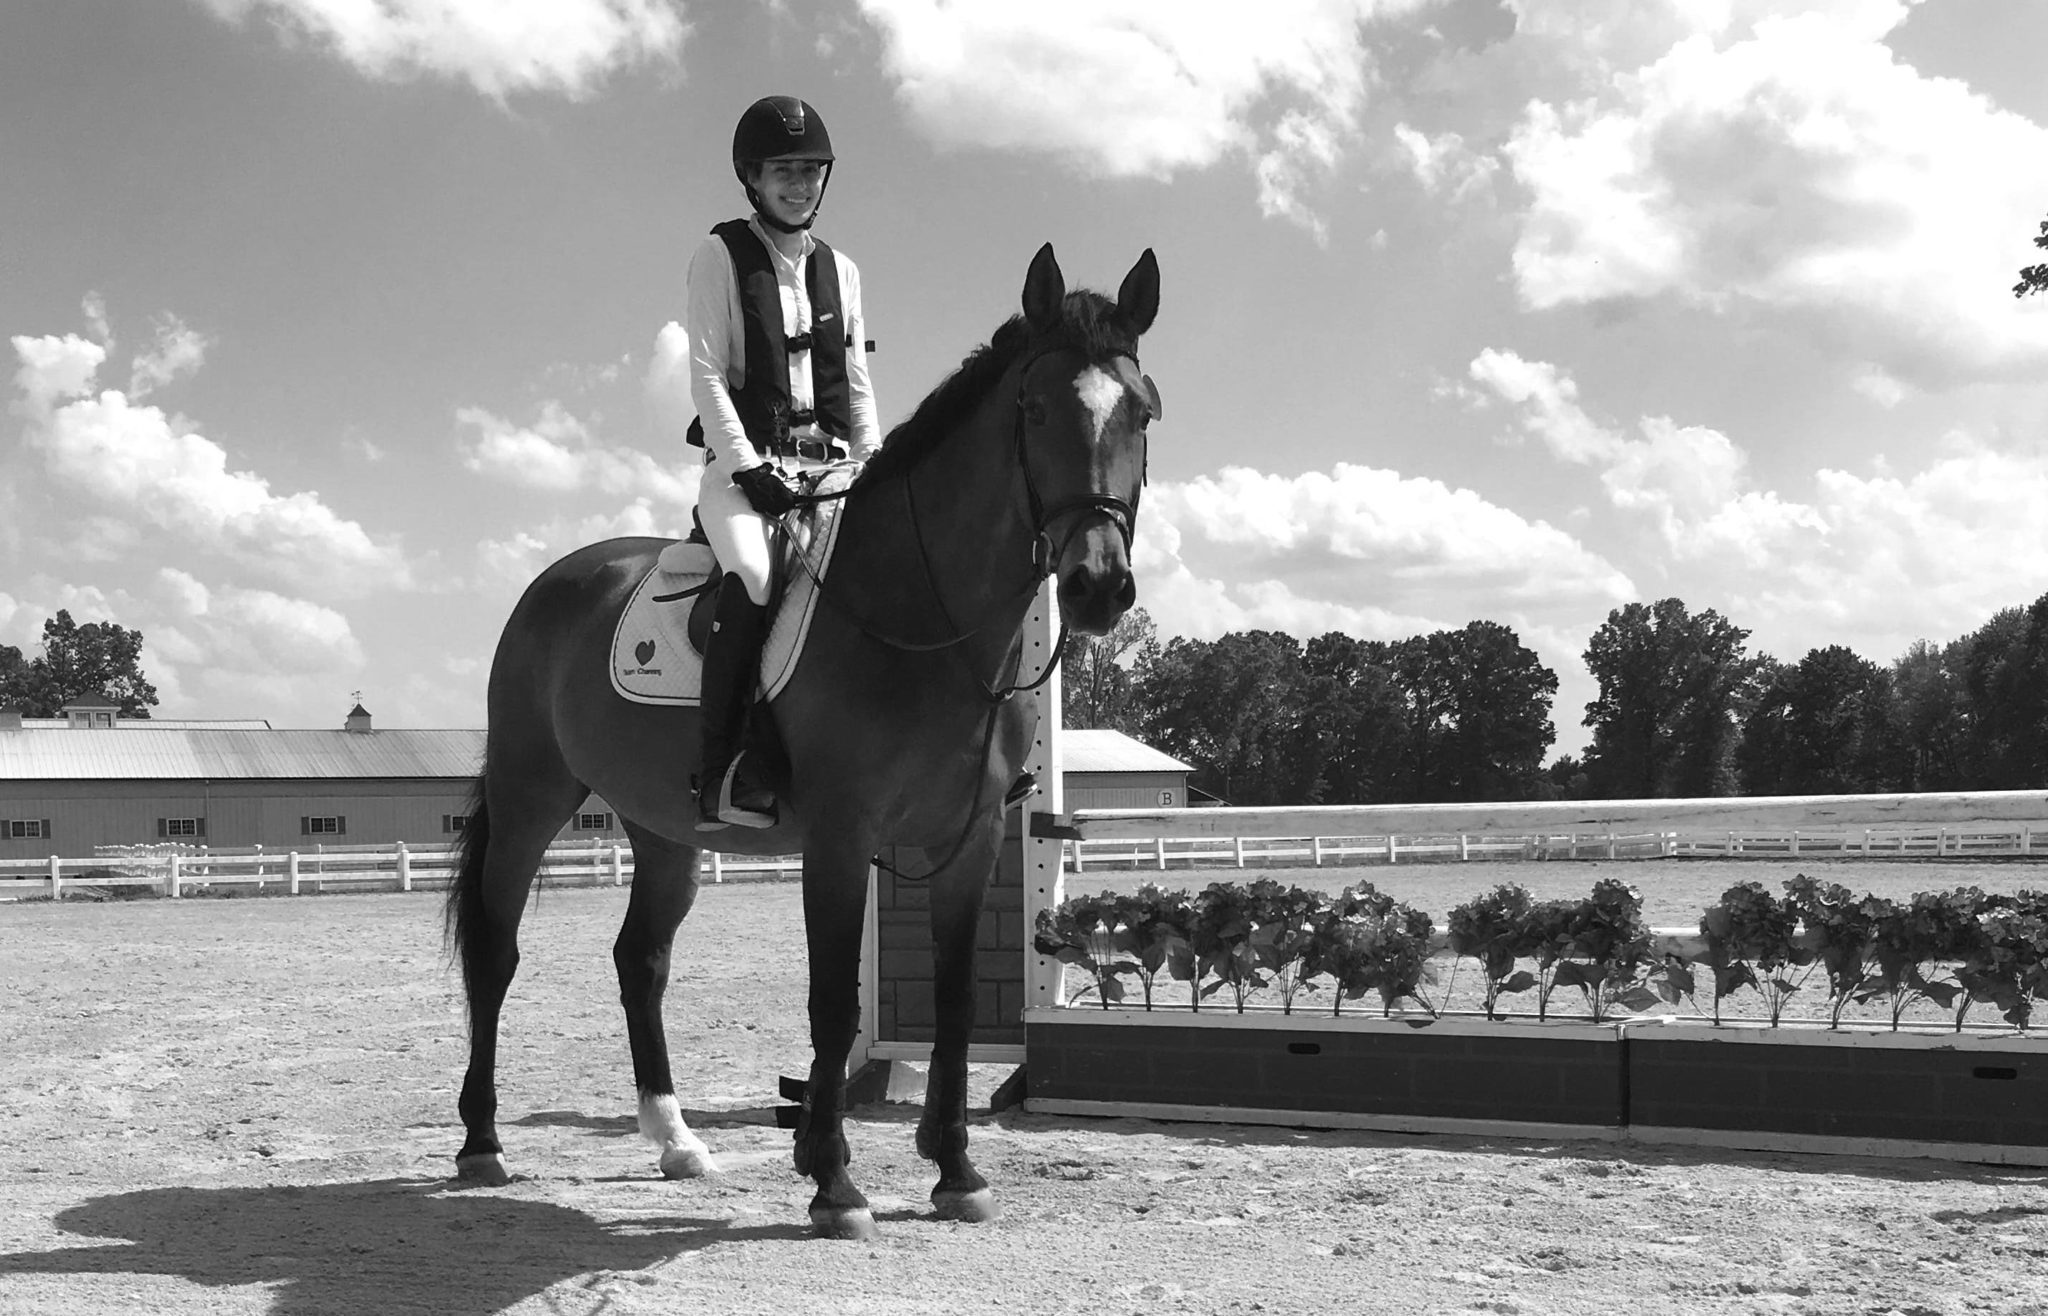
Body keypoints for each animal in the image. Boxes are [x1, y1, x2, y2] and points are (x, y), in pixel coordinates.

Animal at [444, 243, 1159, 1240]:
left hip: (664, 828)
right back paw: (482, 1143)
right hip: (529, 799)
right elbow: (831, 1001)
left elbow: (952, 999)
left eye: (1143, 409)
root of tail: (557, 580)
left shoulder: (970, 838)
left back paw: (676, 1141)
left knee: (641, 961)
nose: (1097, 584)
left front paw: (955, 1170)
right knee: (497, 954)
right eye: (1036, 408)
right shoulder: (840, 836)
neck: (922, 612)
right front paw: (833, 1180)